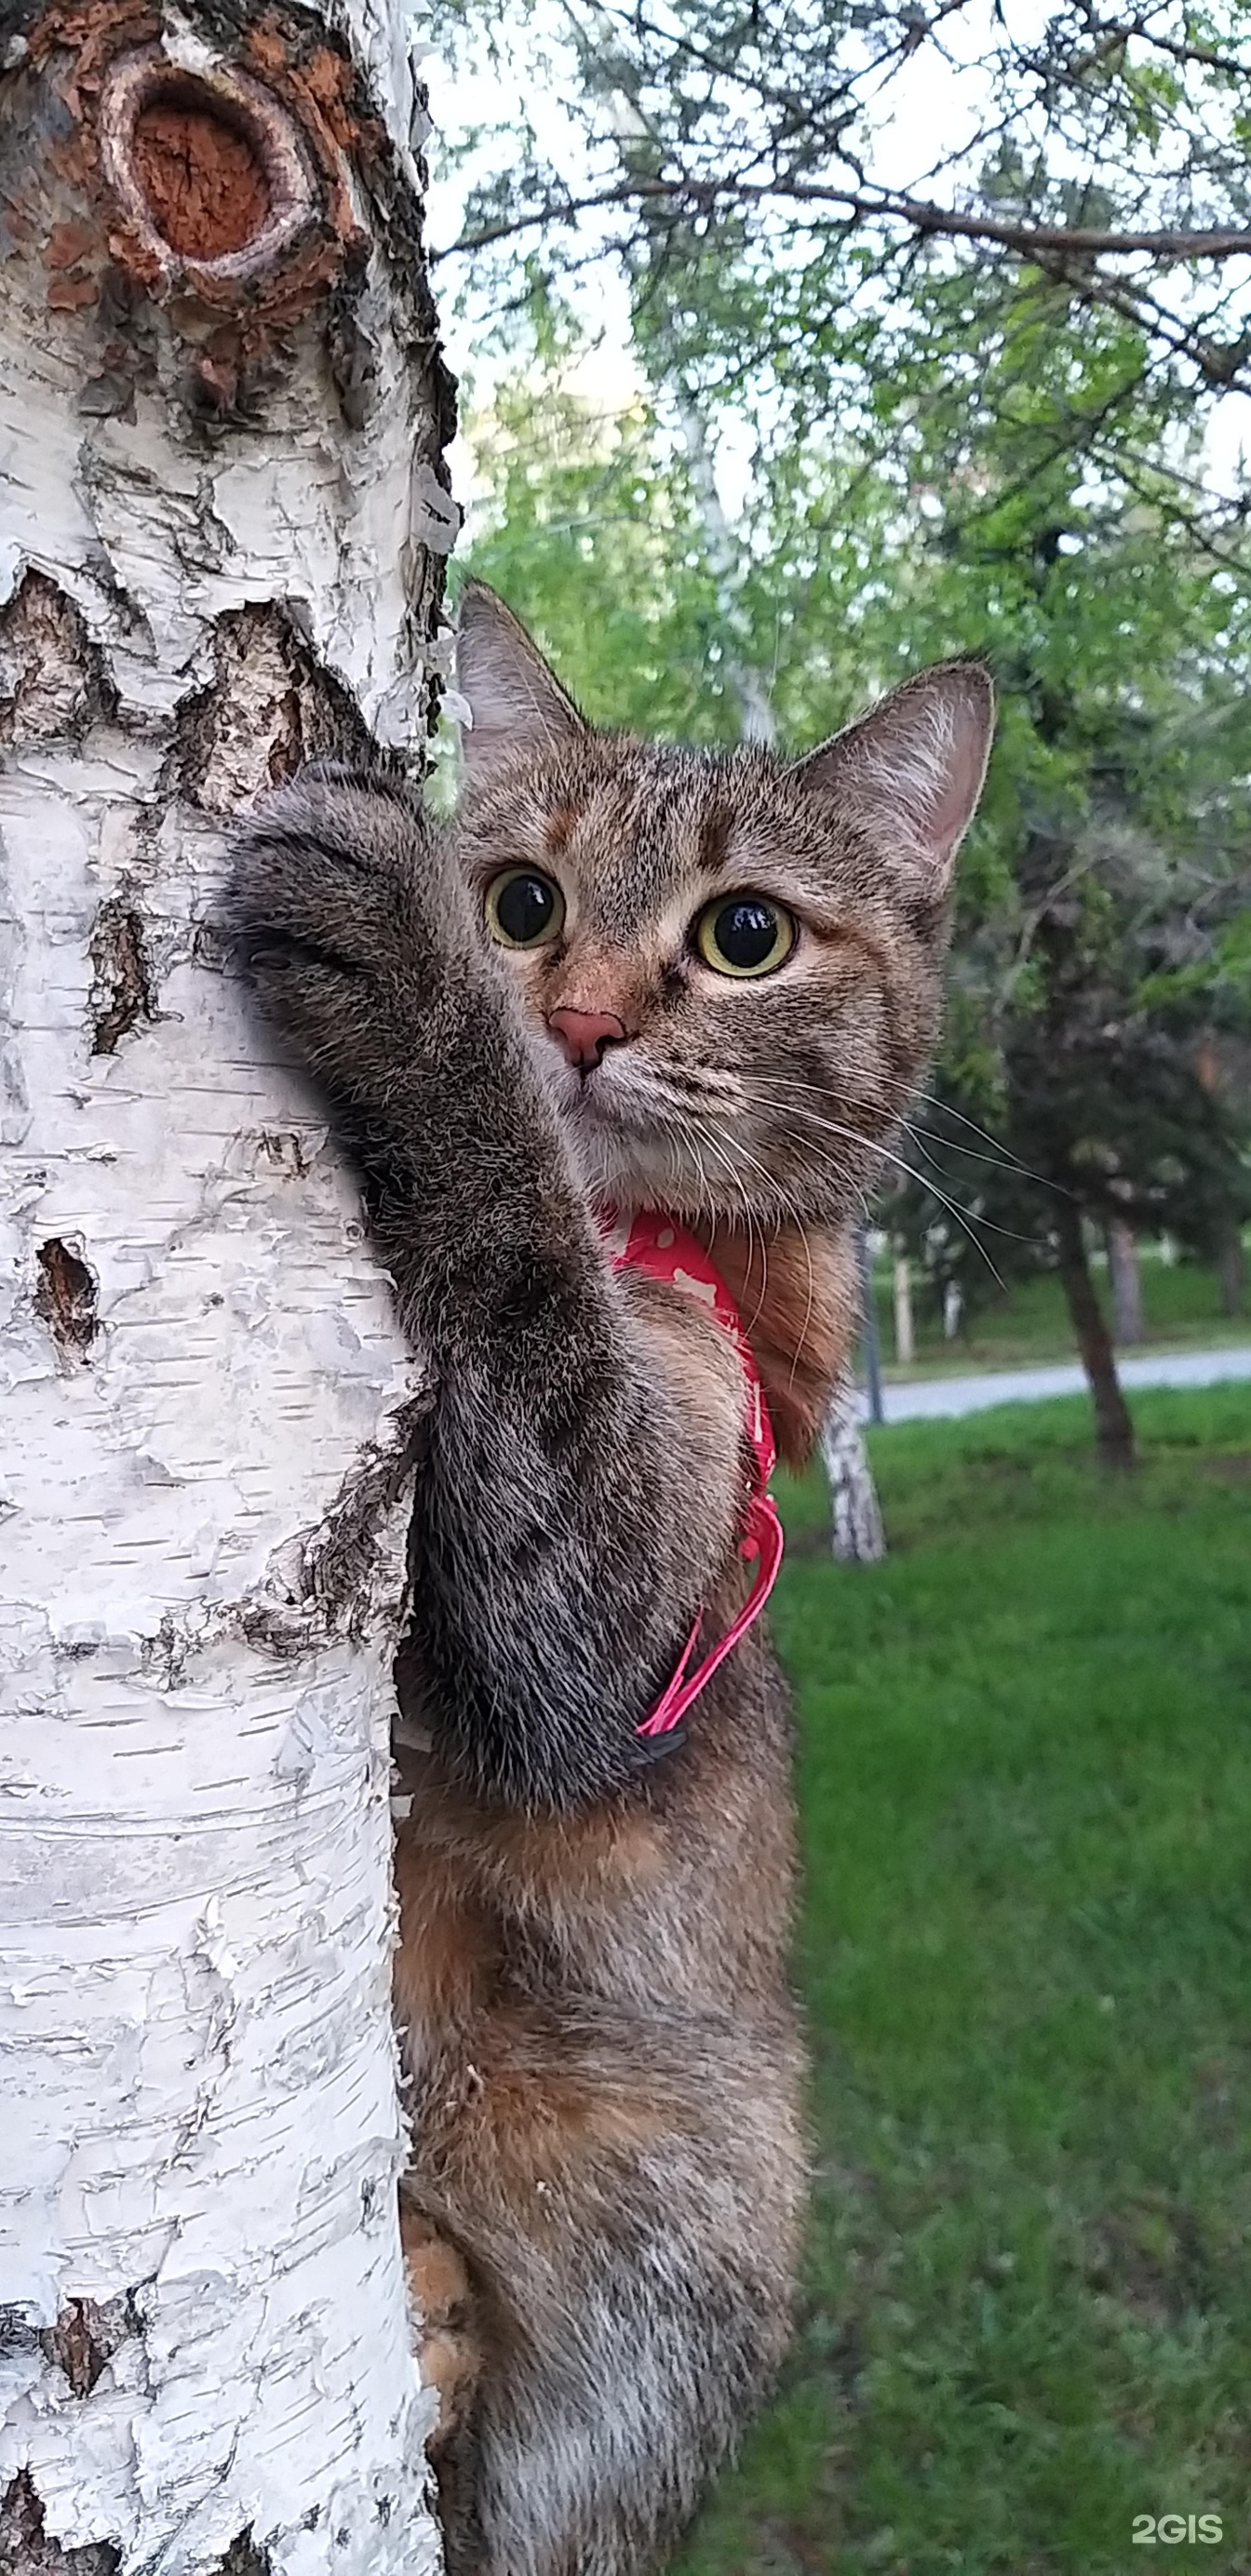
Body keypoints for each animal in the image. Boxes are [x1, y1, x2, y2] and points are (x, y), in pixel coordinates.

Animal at [229, 589, 998, 2576]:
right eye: (522, 899)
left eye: (744, 933)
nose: (566, 1021)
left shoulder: (599, 1605)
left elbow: (518, 1257)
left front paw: (421, 1003)